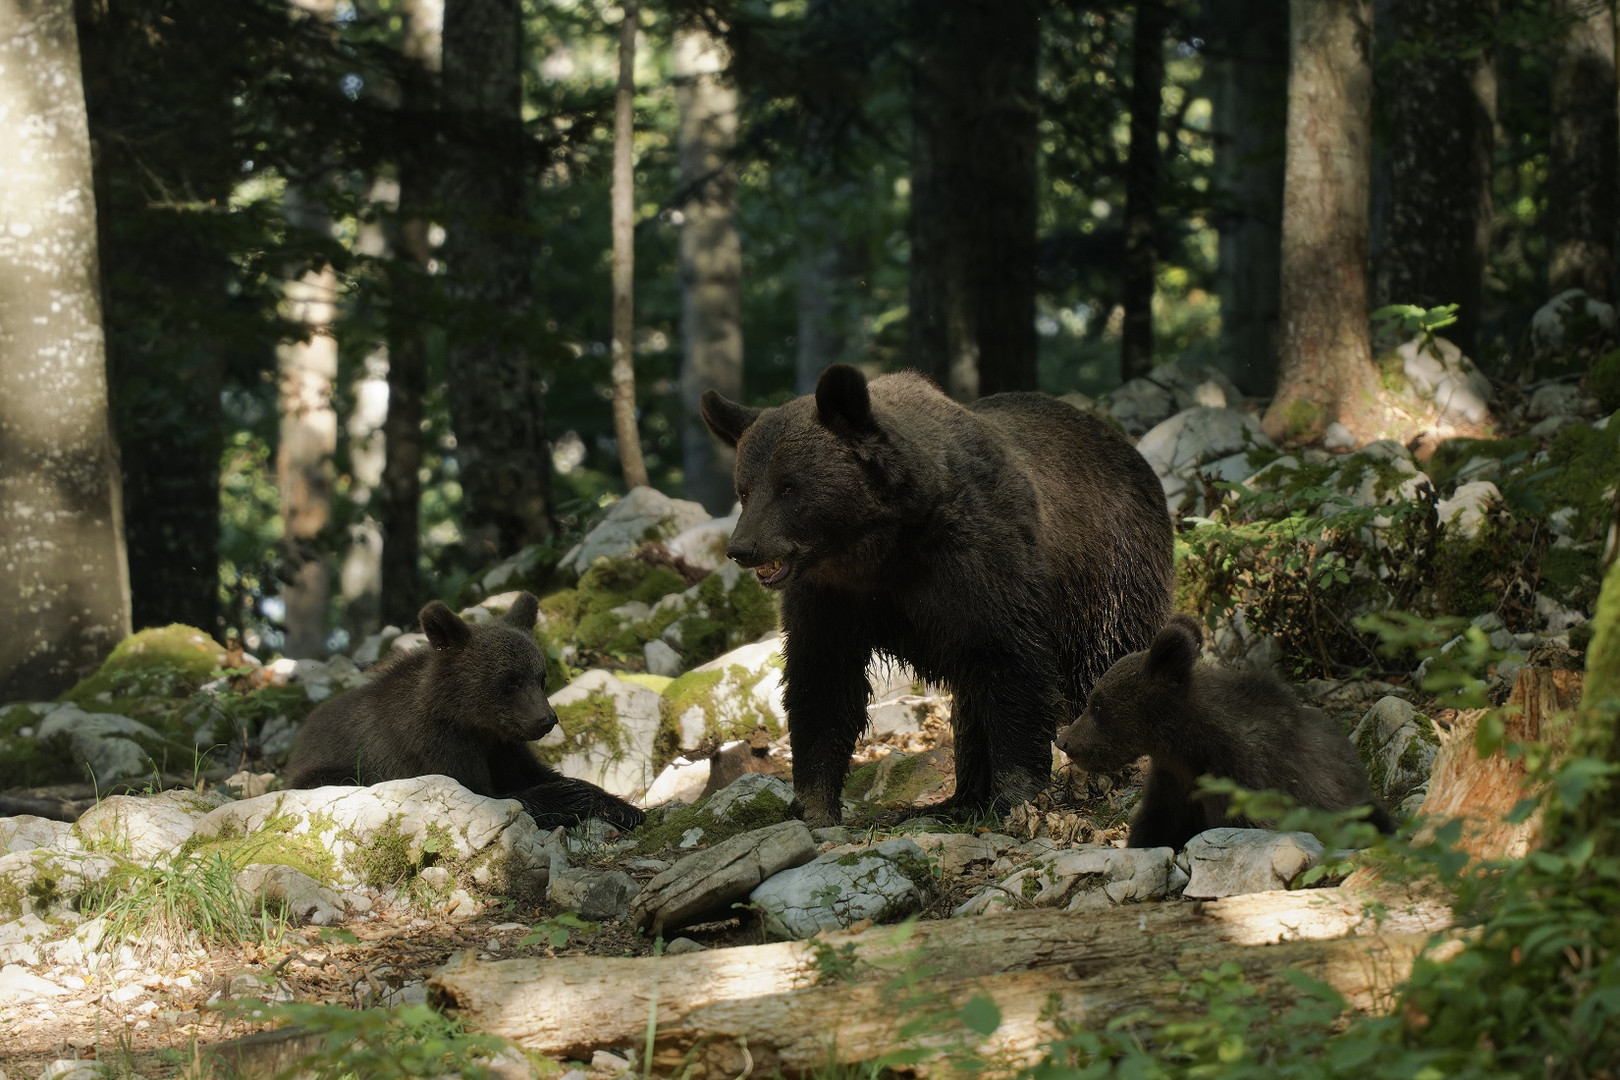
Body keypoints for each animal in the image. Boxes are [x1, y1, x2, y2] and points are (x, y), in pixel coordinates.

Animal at [285, 595, 644, 835]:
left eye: (540, 677)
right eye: (510, 680)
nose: (546, 720)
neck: (471, 721)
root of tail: (302, 735)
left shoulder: (503, 745)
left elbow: (538, 772)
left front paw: (622, 807)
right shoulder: (435, 747)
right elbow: (487, 794)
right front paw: (568, 797)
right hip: (329, 770)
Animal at [703, 362, 1172, 829]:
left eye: (788, 486)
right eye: (745, 489)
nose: (743, 548)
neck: (877, 547)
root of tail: (1121, 443)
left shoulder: (978, 564)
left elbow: (1012, 665)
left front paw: (1017, 795)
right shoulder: (831, 597)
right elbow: (823, 682)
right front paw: (815, 805)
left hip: (1110, 571)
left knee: (1104, 658)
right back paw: (960, 799)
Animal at [1062, 615, 1393, 854]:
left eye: (1097, 705)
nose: (1064, 741)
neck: (1189, 745)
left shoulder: (1245, 779)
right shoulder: (1174, 783)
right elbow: (1154, 828)